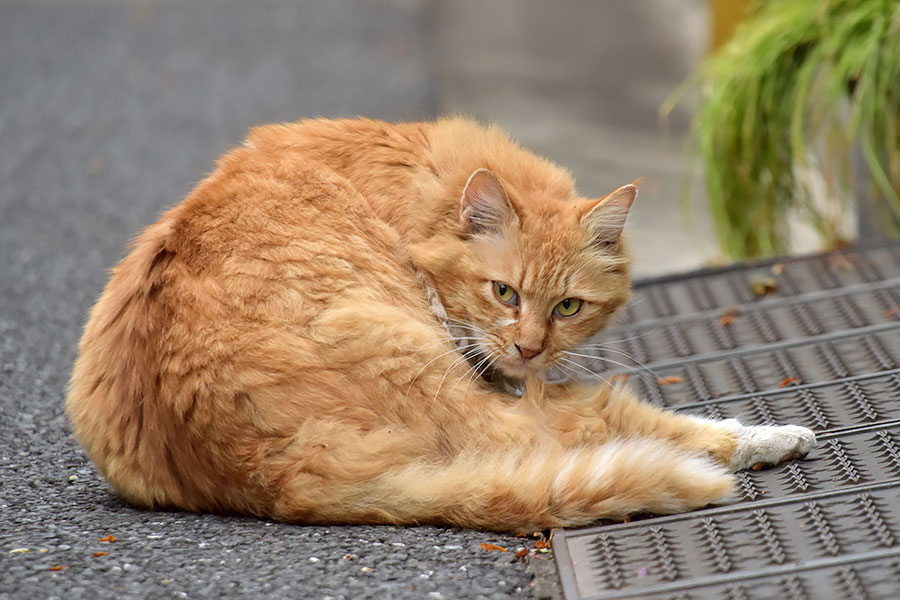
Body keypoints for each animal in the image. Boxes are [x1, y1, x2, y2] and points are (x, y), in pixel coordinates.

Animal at [68, 117, 816, 528]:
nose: (527, 349)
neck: (406, 192)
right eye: (503, 292)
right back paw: (767, 438)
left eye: (568, 307)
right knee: (599, 425)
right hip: (433, 370)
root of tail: (270, 480)